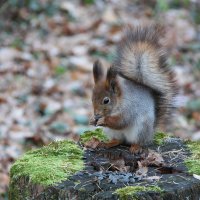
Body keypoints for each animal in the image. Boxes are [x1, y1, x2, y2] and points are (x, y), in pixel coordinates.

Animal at [90, 24, 176, 152]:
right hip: (113, 132)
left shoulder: (129, 109)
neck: (119, 101)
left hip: (140, 129)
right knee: (119, 140)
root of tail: (151, 133)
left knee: (138, 141)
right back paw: (108, 143)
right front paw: (91, 119)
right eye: (91, 98)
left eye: (106, 100)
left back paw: (135, 147)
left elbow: (121, 122)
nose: (96, 114)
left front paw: (103, 120)